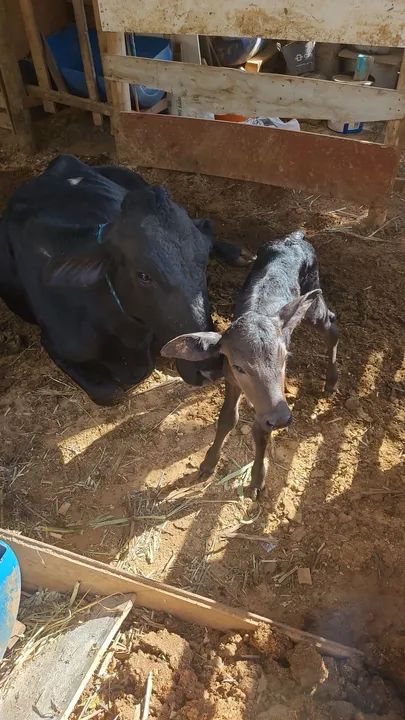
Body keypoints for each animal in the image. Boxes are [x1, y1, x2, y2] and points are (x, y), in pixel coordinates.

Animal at [161, 230, 339, 499]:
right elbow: (227, 418)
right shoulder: (232, 380)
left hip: (313, 298)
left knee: (331, 325)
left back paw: (331, 381)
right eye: (239, 367)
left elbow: (261, 431)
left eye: (285, 358)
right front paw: (208, 463)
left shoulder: (271, 405)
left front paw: (256, 480)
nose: (282, 419)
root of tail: (295, 237)